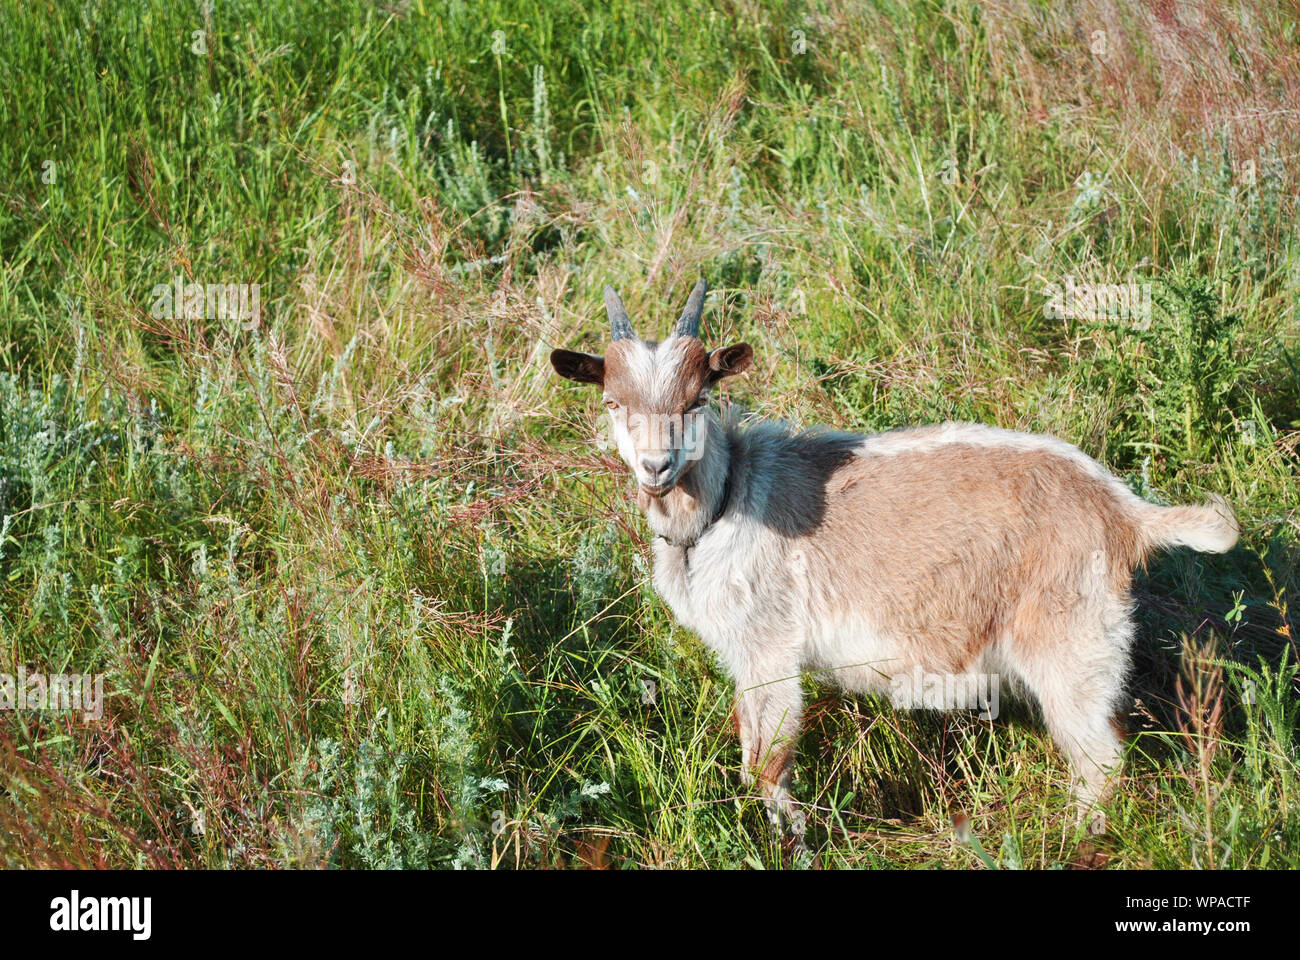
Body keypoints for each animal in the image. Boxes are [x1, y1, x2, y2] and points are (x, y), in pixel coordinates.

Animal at [550, 279, 1239, 837]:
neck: (724, 503)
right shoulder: (743, 655)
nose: (656, 467)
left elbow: (767, 763)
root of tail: (1125, 511)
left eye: (698, 399)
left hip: (1071, 642)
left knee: (1100, 759)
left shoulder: (768, 647)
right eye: (612, 402)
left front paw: (789, 840)